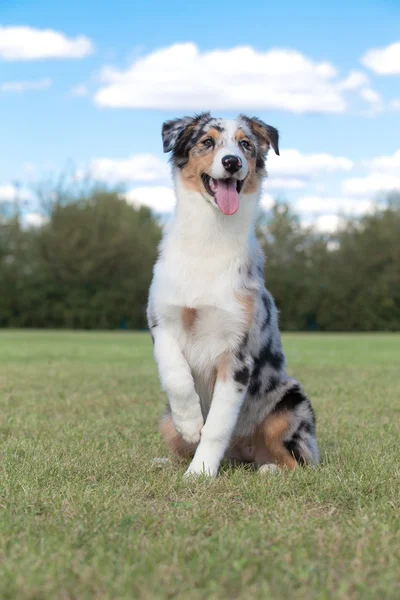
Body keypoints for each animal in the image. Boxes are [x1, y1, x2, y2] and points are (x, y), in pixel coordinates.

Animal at [147, 112, 318, 478]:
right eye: (207, 141)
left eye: (246, 145)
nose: (231, 162)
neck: (210, 237)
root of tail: (241, 454)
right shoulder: (161, 320)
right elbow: (176, 374)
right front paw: (190, 423)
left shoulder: (237, 353)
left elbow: (217, 425)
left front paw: (199, 474)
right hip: (164, 419)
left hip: (290, 402)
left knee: (301, 459)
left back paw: (270, 470)